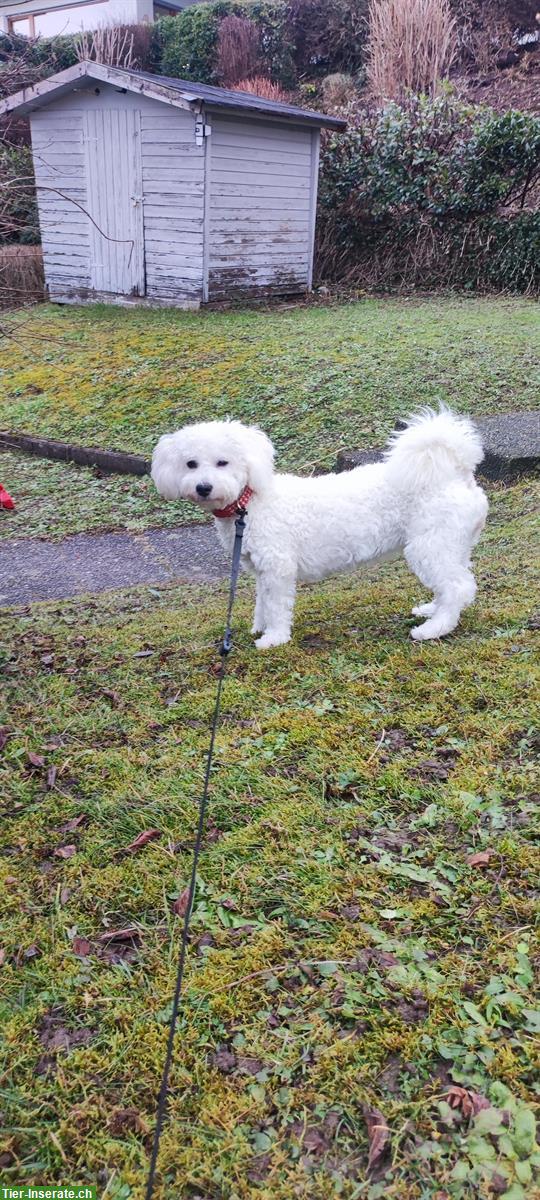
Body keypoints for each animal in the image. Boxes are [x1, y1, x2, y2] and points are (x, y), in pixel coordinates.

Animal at [150, 415, 489, 657]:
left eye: (223, 462)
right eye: (190, 464)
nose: (203, 487)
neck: (249, 503)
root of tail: (455, 471)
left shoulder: (278, 566)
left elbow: (277, 605)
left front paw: (274, 638)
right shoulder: (261, 569)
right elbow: (262, 602)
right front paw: (259, 628)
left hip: (429, 544)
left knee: (457, 587)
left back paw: (434, 629)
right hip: (448, 543)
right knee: (453, 583)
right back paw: (433, 610)